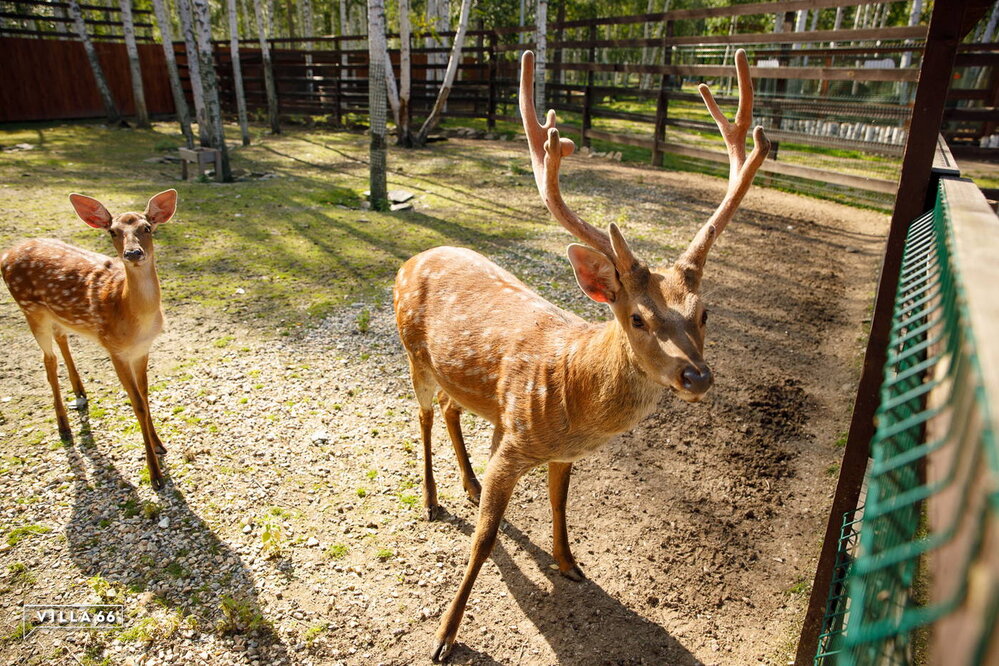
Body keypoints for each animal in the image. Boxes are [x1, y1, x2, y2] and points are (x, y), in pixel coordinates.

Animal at [0, 189, 178, 486]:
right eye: (113, 231)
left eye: (147, 228)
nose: (133, 252)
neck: (129, 311)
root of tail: (7, 252)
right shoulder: (114, 348)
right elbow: (137, 405)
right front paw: (155, 475)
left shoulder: (142, 349)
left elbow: (144, 396)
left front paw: (159, 445)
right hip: (29, 308)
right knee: (47, 360)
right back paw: (63, 426)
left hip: (56, 315)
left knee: (61, 339)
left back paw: (80, 391)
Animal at [394, 50, 768, 660]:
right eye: (637, 317)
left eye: (705, 312)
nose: (696, 375)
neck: (571, 395)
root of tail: (409, 260)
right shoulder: (516, 439)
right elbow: (483, 541)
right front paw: (445, 637)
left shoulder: (556, 450)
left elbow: (560, 505)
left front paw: (570, 564)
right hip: (412, 352)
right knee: (423, 415)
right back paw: (430, 498)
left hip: (465, 384)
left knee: (451, 409)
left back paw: (468, 483)